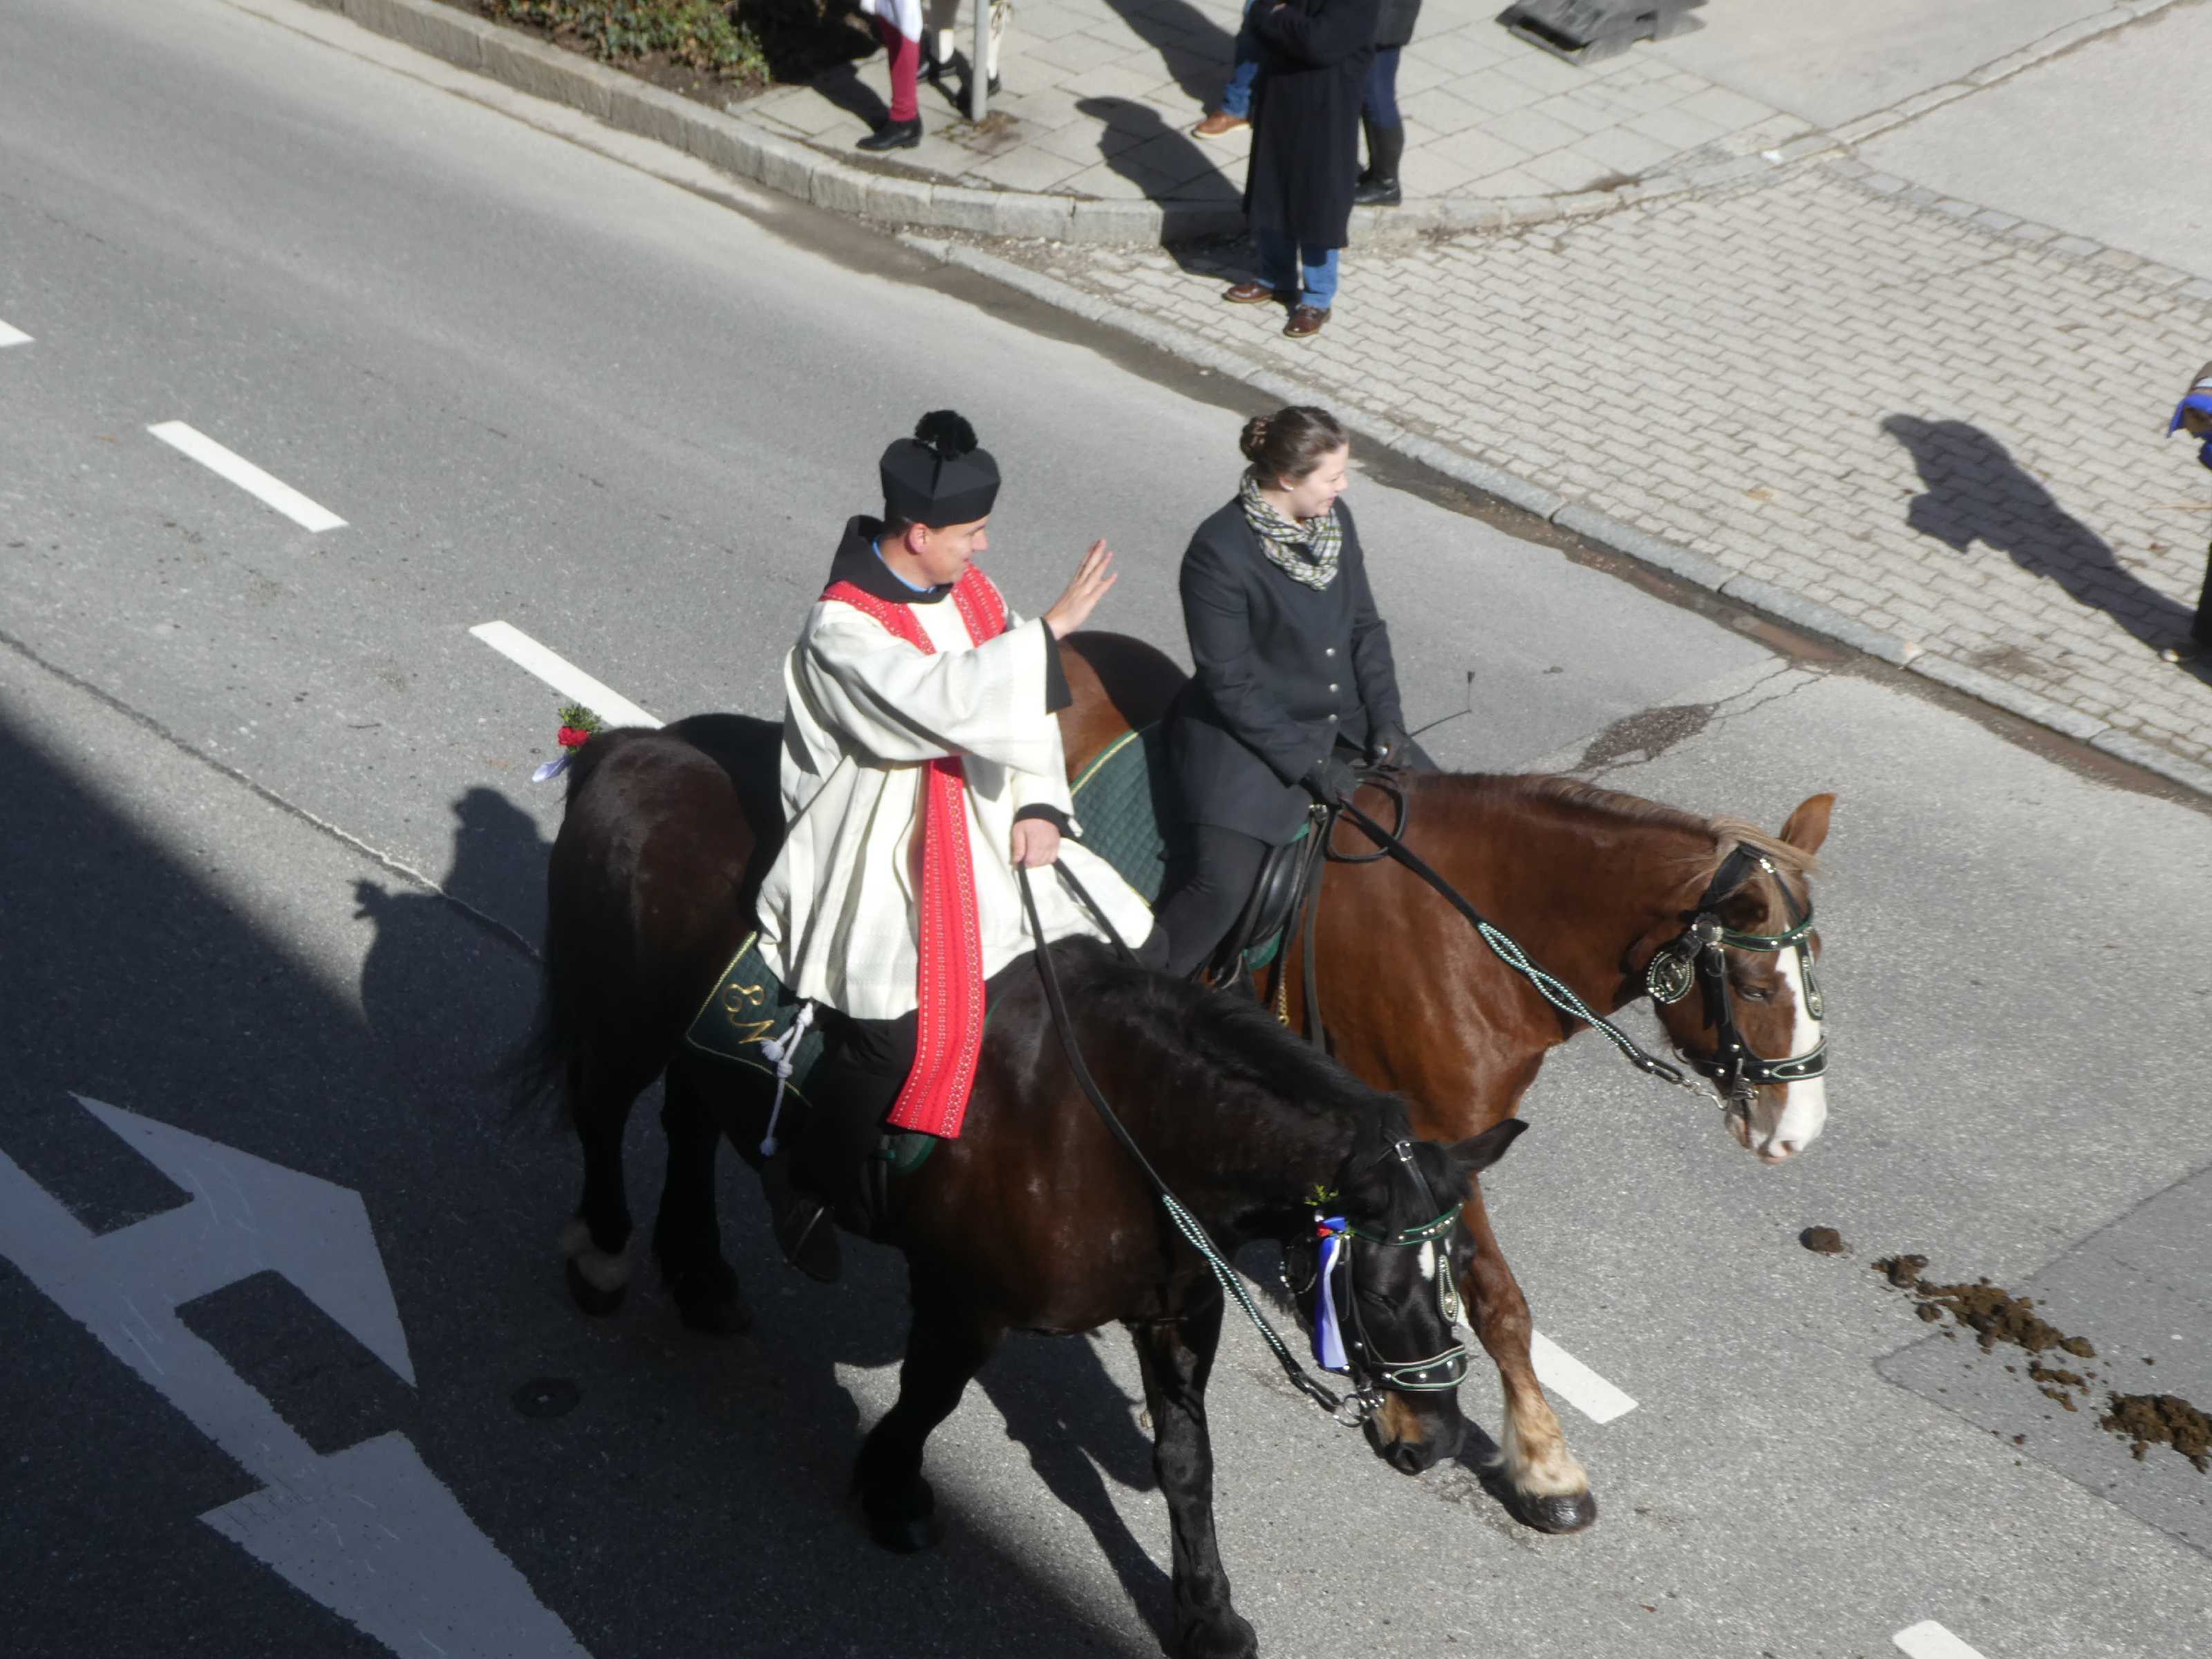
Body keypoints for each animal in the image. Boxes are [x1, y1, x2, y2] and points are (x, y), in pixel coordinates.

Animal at [508, 716, 1527, 1659]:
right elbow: (929, 1396)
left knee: (688, 1126)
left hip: (700, 1050)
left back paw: (700, 1274)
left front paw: (1207, 1612)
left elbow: (1186, 1462)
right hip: (625, 1020)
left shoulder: (1176, 1313)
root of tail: (636, 744)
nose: (1435, 1436)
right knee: (602, 1116)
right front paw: (890, 1489)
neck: (1117, 1124)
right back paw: (604, 1256)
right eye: (1377, 1290)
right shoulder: (966, 1300)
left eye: (1459, 1274)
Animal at [1054, 633, 1836, 1534]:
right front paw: (1543, 1464)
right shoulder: (1435, 1134)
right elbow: (1495, 1298)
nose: (1797, 1130)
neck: (1477, 936)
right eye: (1754, 987)